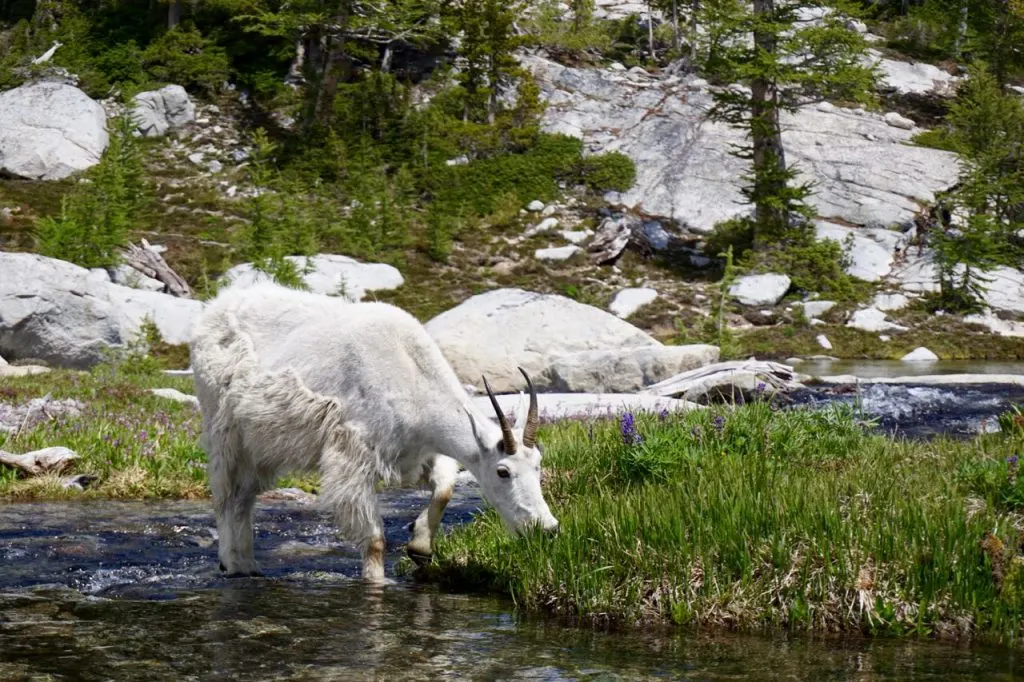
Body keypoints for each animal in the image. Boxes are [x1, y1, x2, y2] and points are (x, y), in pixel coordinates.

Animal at [192, 280, 561, 577]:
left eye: (539, 464)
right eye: (503, 472)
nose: (546, 529)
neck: (411, 376)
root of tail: (213, 308)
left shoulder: (419, 452)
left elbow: (444, 487)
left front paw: (419, 546)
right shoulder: (353, 455)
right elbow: (374, 540)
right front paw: (377, 583)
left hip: (261, 445)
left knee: (244, 497)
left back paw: (248, 564)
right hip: (223, 428)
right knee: (224, 495)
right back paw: (231, 564)